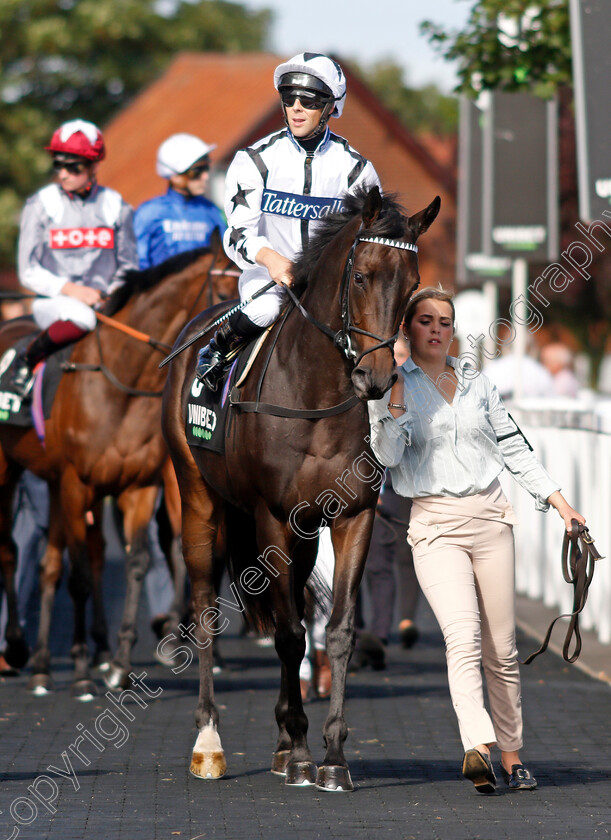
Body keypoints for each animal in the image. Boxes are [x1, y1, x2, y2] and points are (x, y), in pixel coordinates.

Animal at [0, 233, 238, 700]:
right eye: (223, 290)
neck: (120, 385)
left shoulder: (136, 486)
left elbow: (135, 564)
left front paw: (120, 663)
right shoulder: (76, 483)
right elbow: (78, 577)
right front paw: (81, 669)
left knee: (58, 562)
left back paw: (45, 662)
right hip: (9, 470)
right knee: (11, 552)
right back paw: (19, 648)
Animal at [161, 187, 440, 792]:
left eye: (411, 284)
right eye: (360, 275)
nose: (376, 379)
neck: (317, 397)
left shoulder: (352, 516)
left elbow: (337, 630)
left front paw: (329, 755)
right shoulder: (269, 514)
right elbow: (289, 633)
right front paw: (303, 750)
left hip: (304, 531)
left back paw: (284, 742)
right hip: (198, 500)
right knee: (203, 606)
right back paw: (209, 741)